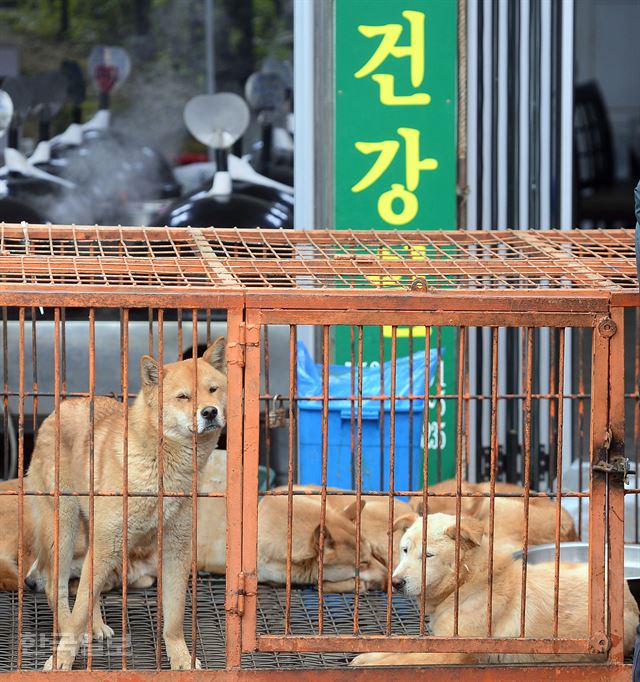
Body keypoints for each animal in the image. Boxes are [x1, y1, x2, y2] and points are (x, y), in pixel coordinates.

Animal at [27, 338, 228, 668]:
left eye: (213, 389)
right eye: (183, 396)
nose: (209, 412)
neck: (162, 466)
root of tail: (60, 407)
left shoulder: (176, 548)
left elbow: (174, 617)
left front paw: (181, 658)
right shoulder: (106, 545)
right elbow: (78, 606)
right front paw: (62, 660)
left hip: (95, 535)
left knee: (85, 590)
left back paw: (94, 626)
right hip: (65, 531)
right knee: (57, 587)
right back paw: (71, 629)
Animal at [352, 510, 636, 664]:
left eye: (428, 555)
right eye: (404, 550)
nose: (396, 583)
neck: (465, 585)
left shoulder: (454, 652)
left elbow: (404, 657)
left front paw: (367, 661)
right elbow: (400, 649)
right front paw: (371, 654)